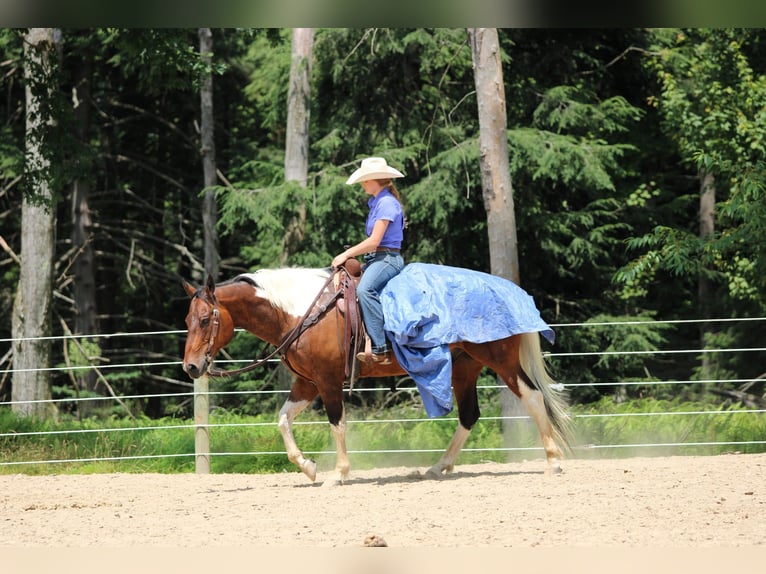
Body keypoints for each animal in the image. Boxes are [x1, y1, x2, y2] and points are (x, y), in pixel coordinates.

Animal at [181, 266, 572, 485]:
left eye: (205, 319)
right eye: (187, 320)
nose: (191, 367)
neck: (301, 312)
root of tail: (509, 291)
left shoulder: (327, 381)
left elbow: (337, 424)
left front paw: (339, 473)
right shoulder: (306, 383)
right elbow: (282, 420)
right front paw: (308, 468)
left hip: (501, 360)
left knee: (533, 397)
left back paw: (553, 462)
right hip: (465, 367)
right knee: (468, 415)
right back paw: (438, 467)